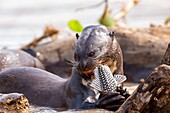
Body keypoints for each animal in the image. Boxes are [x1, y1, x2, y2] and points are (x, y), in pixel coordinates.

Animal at [0, 25, 128, 111]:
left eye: (92, 53)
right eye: (76, 55)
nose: (82, 65)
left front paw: (123, 92)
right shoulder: (74, 95)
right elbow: (82, 105)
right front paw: (109, 101)